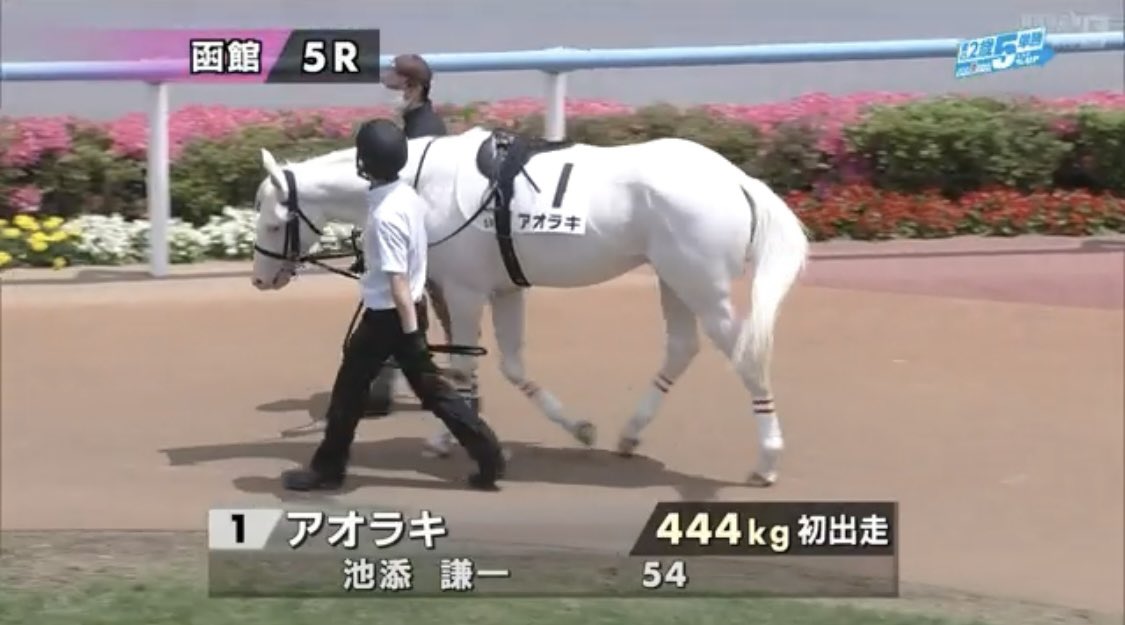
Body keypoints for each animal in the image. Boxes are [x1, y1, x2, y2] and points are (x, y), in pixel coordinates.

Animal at [249, 125, 810, 486]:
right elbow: (513, 367)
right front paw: (578, 428)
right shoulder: (506, 288)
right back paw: (629, 434)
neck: (420, 185)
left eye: (273, 222)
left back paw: (767, 460)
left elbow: (459, 369)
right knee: (681, 347)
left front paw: (447, 438)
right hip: (674, 279)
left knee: (745, 357)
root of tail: (737, 179)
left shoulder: (465, 290)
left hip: (703, 286)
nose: (260, 278)